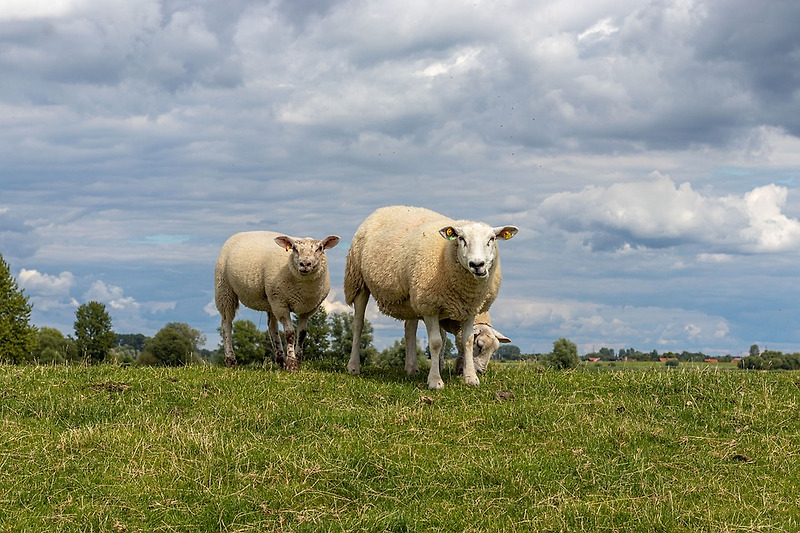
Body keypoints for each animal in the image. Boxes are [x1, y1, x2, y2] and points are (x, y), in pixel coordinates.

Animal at [214, 229, 340, 370]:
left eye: (320, 248)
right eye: (294, 248)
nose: (305, 264)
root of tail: (240, 233)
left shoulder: (308, 309)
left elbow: (302, 334)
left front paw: (298, 362)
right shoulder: (281, 304)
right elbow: (290, 334)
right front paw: (291, 365)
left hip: (270, 299)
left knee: (272, 327)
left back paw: (280, 360)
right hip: (225, 291)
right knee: (226, 324)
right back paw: (230, 360)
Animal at [344, 205, 520, 386]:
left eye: (492, 239)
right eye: (461, 238)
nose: (477, 264)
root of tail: (385, 208)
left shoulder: (469, 308)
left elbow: (466, 340)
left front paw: (470, 378)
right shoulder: (430, 307)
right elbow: (436, 342)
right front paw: (435, 381)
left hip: (412, 298)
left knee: (410, 329)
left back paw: (411, 368)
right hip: (358, 281)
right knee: (358, 325)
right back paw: (353, 366)